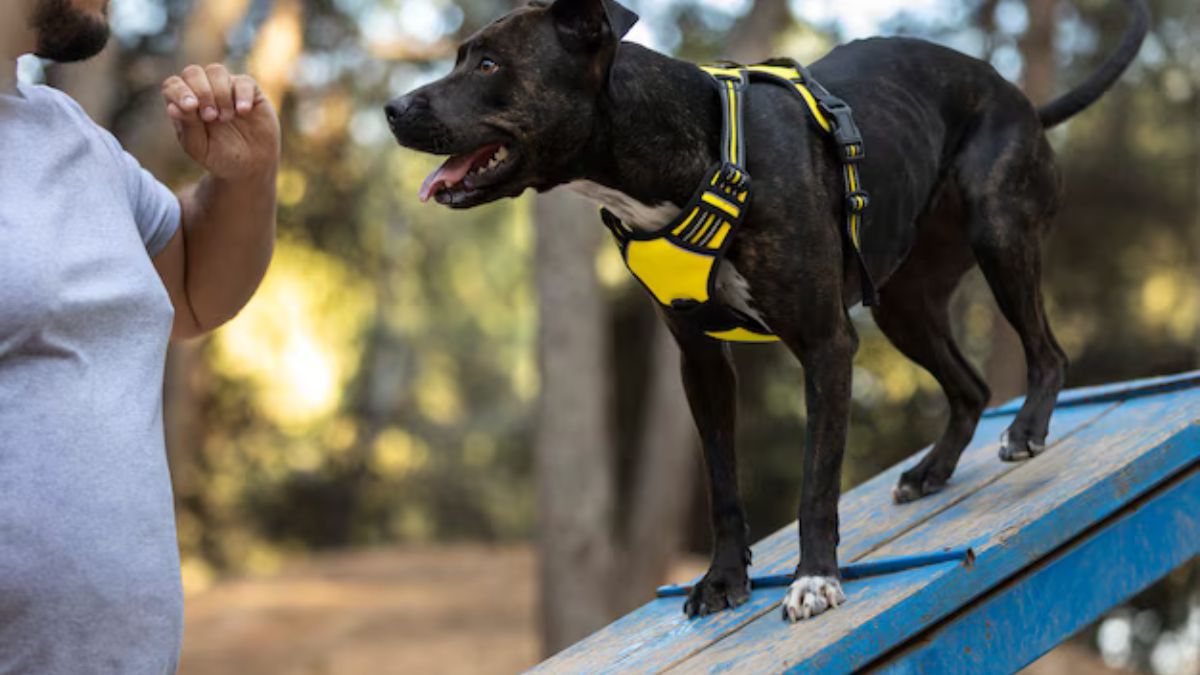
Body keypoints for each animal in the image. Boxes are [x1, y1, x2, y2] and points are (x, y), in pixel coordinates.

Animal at [388, 0, 1147, 619]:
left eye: (489, 63)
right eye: (458, 55)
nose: (393, 109)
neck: (682, 150)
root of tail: (1018, 96)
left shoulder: (825, 345)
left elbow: (816, 481)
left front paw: (815, 579)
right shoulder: (701, 363)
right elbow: (722, 486)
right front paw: (724, 580)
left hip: (998, 231)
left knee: (1048, 352)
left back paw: (1026, 428)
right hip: (905, 304)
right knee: (971, 386)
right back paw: (932, 470)